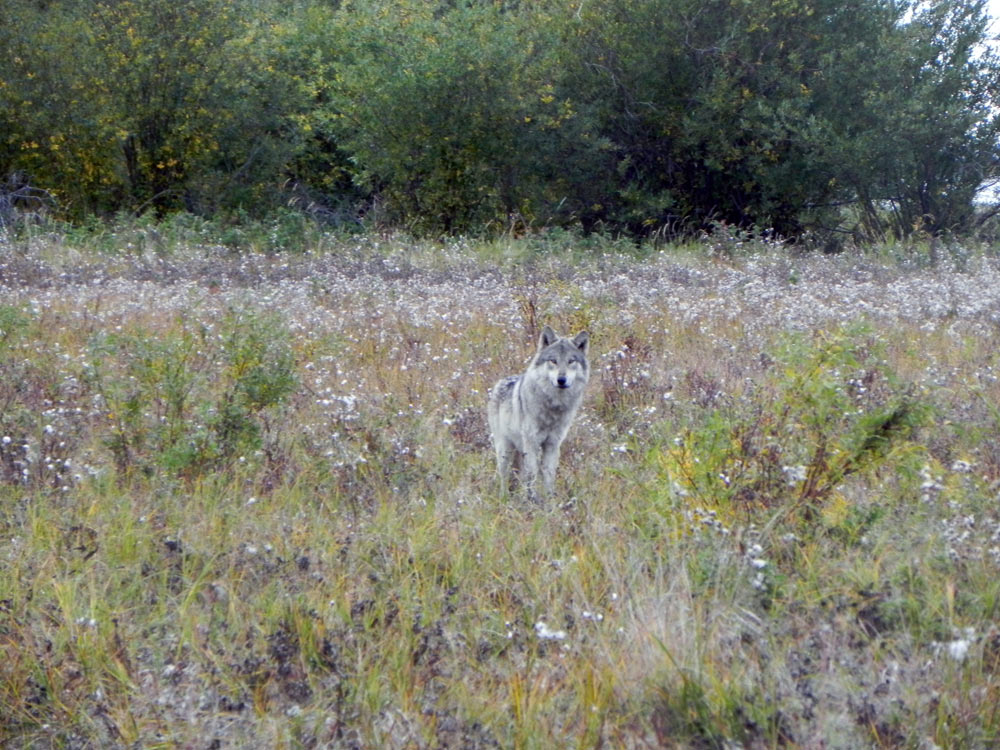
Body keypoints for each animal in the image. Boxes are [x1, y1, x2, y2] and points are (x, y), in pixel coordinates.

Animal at [487, 325, 590, 500]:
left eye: (571, 361)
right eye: (553, 360)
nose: (561, 380)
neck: (553, 407)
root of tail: (499, 383)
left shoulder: (553, 444)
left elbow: (549, 475)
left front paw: (549, 502)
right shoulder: (532, 443)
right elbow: (533, 475)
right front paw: (531, 500)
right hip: (505, 449)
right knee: (504, 476)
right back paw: (504, 498)